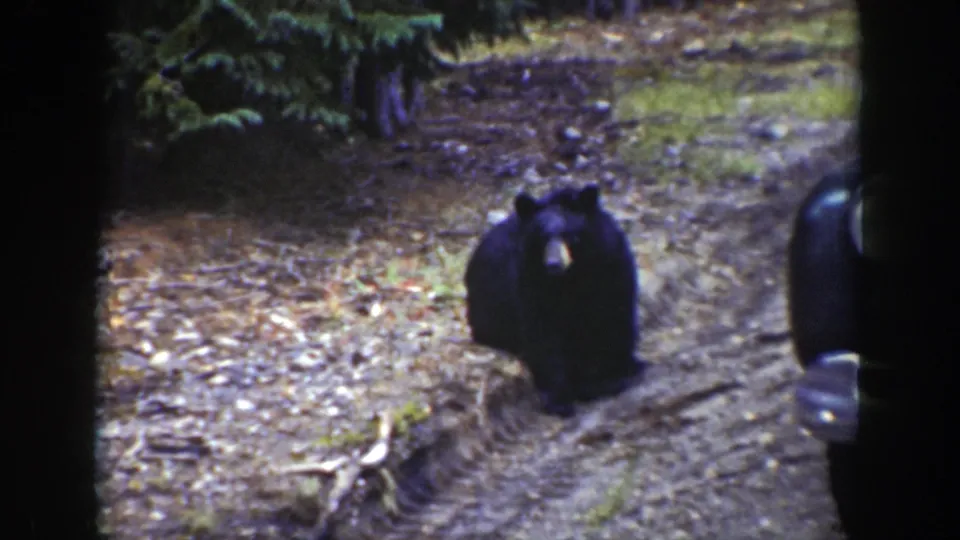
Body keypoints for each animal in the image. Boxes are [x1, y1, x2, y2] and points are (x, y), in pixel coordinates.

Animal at [464, 184, 646, 417]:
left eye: (569, 235)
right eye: (542, 236)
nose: (553, 263)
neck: (572, 276)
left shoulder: (612, 266)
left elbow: (616, 316)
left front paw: (621, 371)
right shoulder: (531, 280)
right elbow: (543, 334)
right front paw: (559, 399)